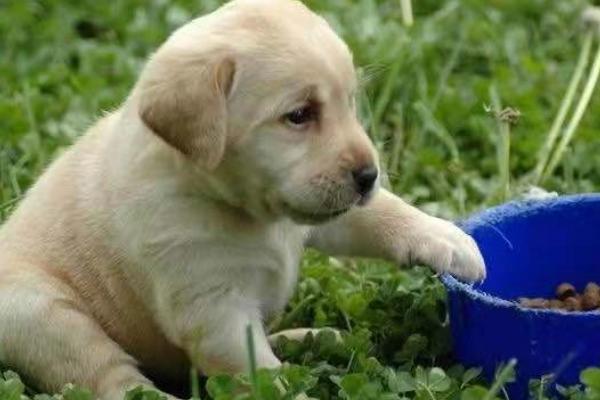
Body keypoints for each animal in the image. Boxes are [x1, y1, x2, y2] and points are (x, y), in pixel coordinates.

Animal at [0, 1, 486, 398]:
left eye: (349, 103)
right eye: (299, 115)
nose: (368, 175)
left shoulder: (324, 210)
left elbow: (382, 212)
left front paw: (450, 241)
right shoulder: (215, 310)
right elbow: (263, 378)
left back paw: (310, 337)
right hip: (40, 311)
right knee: (110, 377)